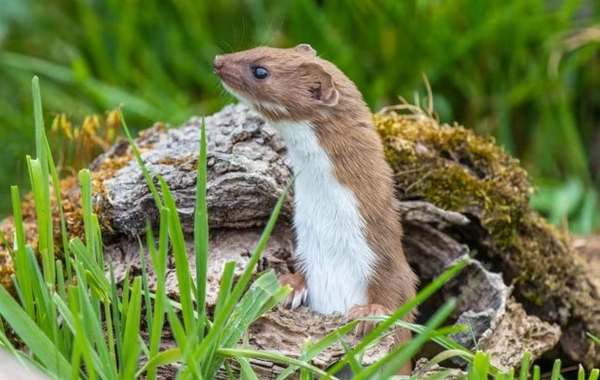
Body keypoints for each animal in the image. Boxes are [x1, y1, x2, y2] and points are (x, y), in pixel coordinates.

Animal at [214, 44, 418, 374]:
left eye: (260, 70)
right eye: (257, 48)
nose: (218, 61)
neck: (330, 235)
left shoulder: (382, 256)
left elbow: (398, 294)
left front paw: (369, 311)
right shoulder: (308, 246)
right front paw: (289, 286)